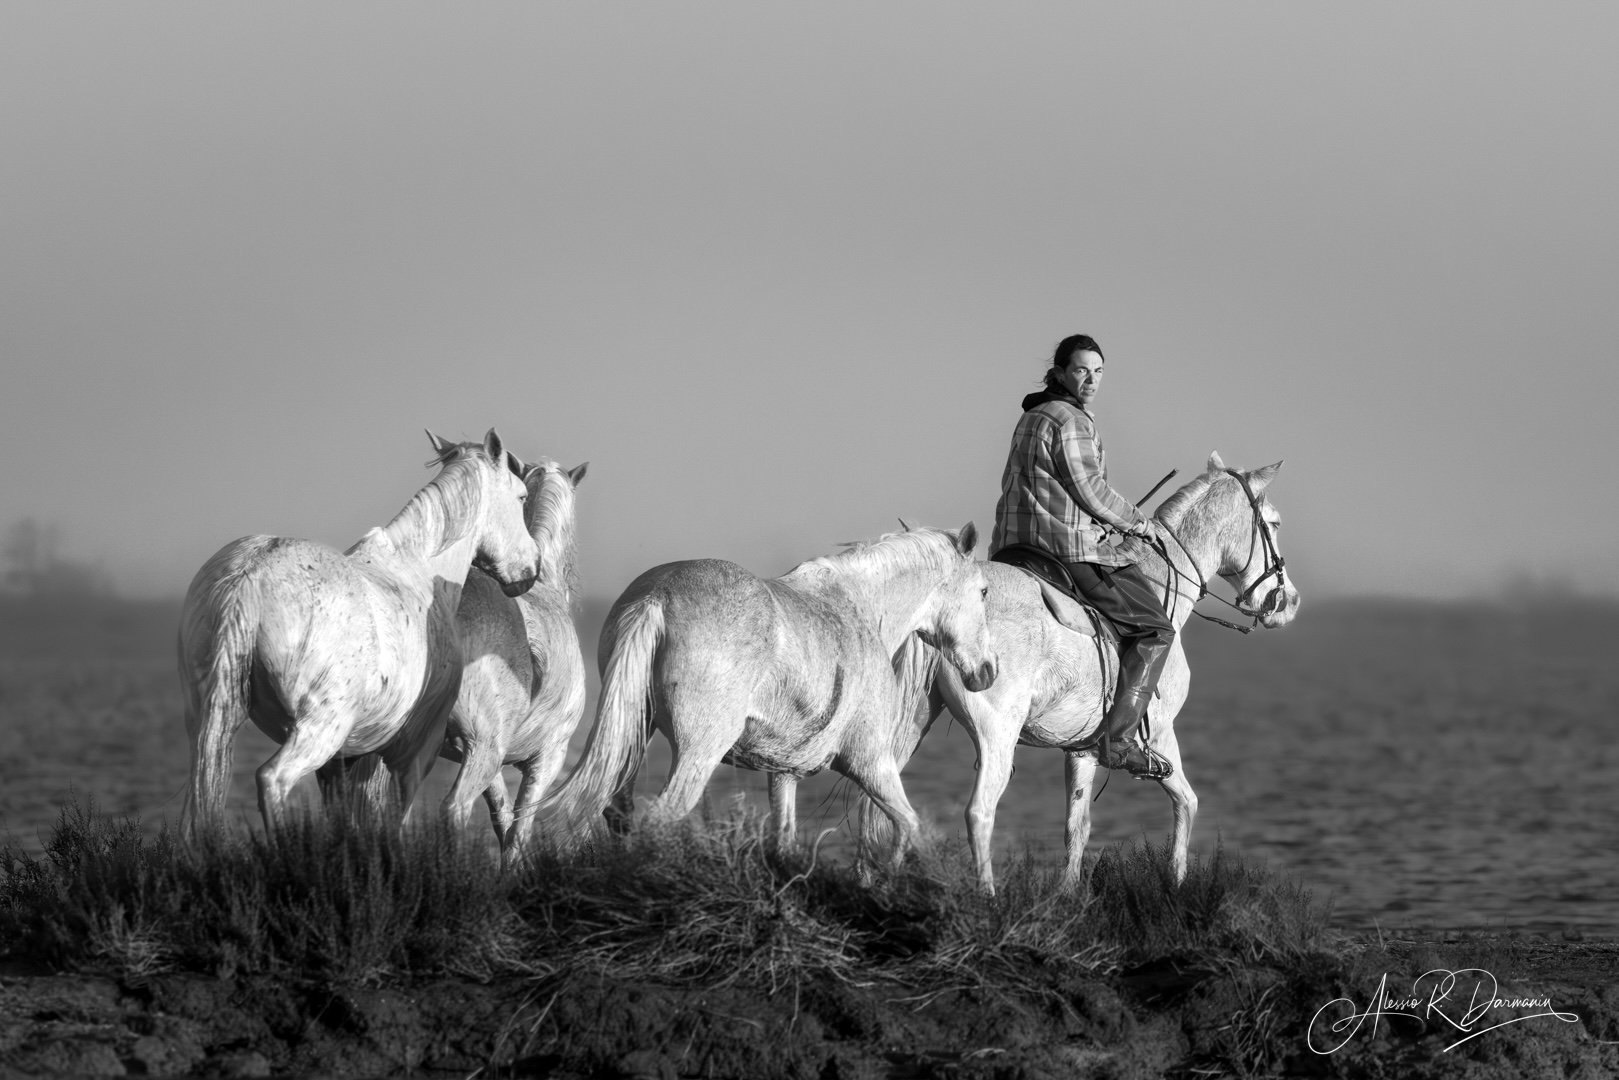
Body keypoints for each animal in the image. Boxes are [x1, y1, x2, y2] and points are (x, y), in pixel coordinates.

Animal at [177, 429, 541, 839]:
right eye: (521, 496)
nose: (531, 568)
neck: (415, 573)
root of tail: (249, 577)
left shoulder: (347, 758)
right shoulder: (415, 751)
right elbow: (394, 821)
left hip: (208, 725)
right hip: (320, 728)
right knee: (273, 779)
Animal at [540, 524, 999, 860]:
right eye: (983, 591)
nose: (987, 671)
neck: (858, 610)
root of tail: (658, 597)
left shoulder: (785, 774)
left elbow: (785, 842)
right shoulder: (872, 762)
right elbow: (907, 826)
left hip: (637, 733)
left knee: (618, 811)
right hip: (698, 752)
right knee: (658, 819)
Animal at [868, 452, 1300, 894]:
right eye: (1275, 523)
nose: (1290, 603)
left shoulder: (1083, 749)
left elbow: (1077, 827)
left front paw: (1068, 894)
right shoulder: (1161, 733)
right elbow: (1187, 802)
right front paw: (1176, 885)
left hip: (910, 726)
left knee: (882, 809)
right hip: (996, 736)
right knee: (979, 814)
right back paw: (986, 896)